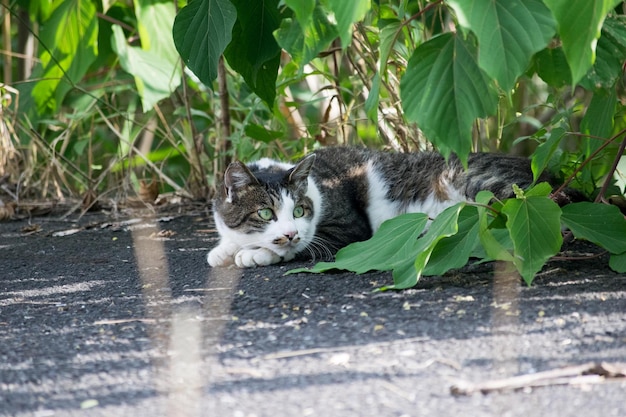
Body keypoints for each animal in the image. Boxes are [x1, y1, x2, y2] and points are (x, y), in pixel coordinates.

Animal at [206, 146, 580, 268]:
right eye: (265, 213)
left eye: (299, 210)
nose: (289, 231)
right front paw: (224, 249)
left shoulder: (347, 229)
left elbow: (303, 247)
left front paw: (256, 254)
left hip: (477, 184)